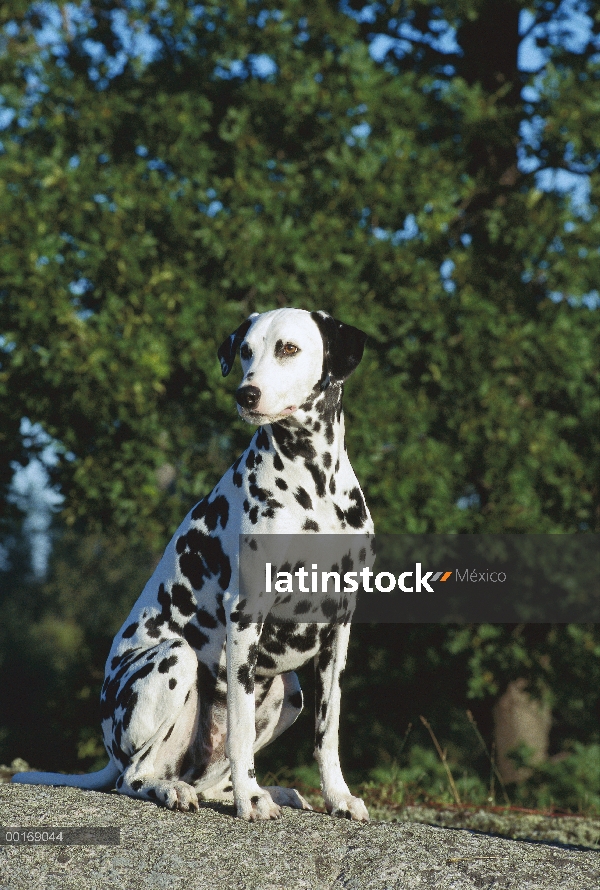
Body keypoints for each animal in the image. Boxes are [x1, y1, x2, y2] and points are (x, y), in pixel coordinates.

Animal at [12, 308, 370, 824]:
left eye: (288, 348)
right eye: (246, 351)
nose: (246, 394)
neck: (314, 485)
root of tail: (108, 752)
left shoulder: (338, 631)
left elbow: (328, 733)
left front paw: (338, 797)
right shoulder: (245, 617)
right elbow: (241, 731)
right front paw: (249, 803)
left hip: (290, 692)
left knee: (206, 776)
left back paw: (265, 791)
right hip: (175, 659)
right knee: (135, 777)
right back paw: (183, 791)